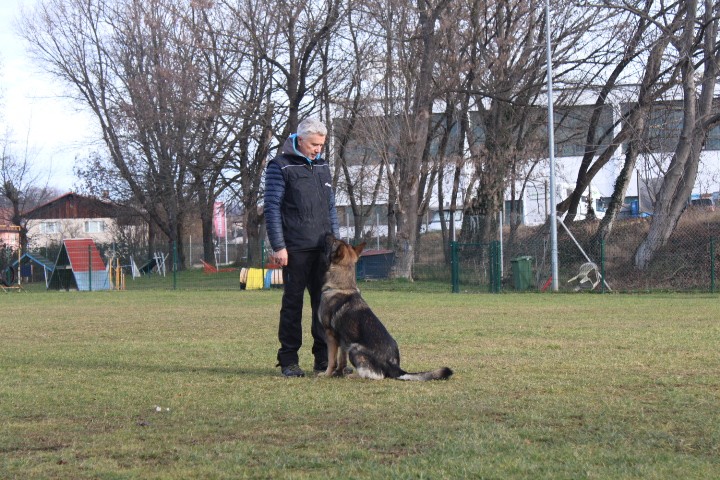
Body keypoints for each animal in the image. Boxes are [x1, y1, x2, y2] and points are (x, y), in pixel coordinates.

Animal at [320, 234, 452, 380]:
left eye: (333, 241)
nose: (327, 234)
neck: (342, 286)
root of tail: (395, 366)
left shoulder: (330, 336)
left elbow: (331, 359)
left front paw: (326, 374)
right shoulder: (343, 341)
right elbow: (341, 360)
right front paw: (338, 373)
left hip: (355, 348)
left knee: (377, 375)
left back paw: (354, 376)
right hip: (352, 346)